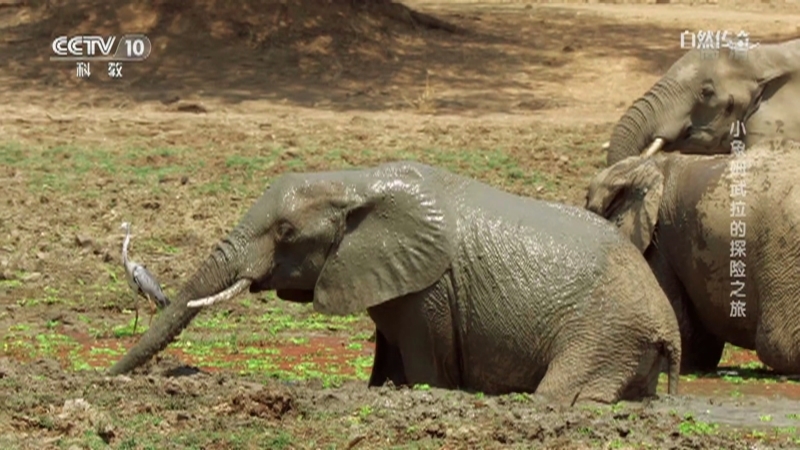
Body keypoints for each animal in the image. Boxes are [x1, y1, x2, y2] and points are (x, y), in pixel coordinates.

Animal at [108, 161, 681, 404]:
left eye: (286, 232)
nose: (109, 378)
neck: (355, 181)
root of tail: (668, 327)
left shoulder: (429, 291)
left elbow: (426, 370)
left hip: (606, 332)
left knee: (560, 391)